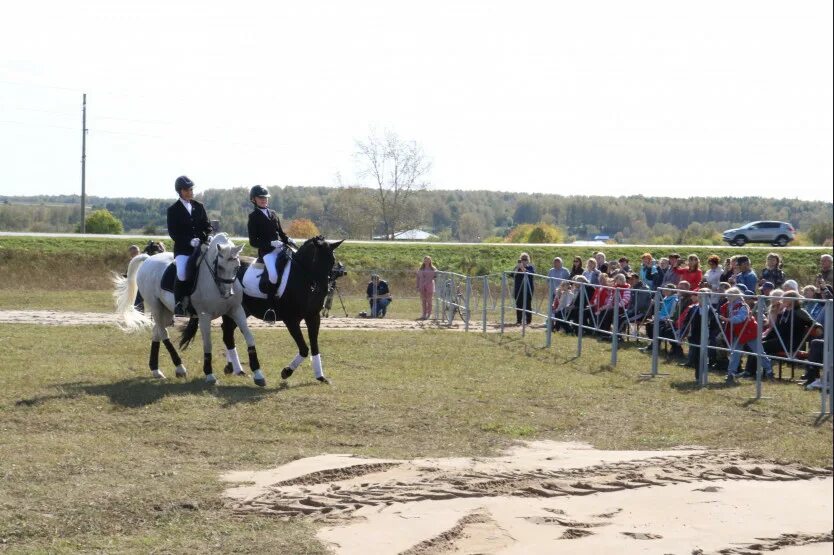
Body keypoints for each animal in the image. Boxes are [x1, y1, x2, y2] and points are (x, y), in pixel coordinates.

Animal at [112, 233, 264, 386]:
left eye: (237, 267)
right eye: (220, 267)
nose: (227, 294)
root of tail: (149, 259)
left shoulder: (236, 310)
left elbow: (249, 337)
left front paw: (258, 374)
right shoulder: (204, 315)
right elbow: (208, 344)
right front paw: (209, 374)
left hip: (166, 311)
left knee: (157, 331)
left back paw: (156, 370)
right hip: (155, 306)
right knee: (163, 333)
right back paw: (180, 368)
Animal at [206, 237, 342, 384]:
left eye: (332, 261)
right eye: (317, 259)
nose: (325, 290)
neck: (302, 277)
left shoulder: (313, 317)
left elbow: (315, 347)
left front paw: (320, 376)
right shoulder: (291, 321)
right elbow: (304, 349)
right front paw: (286, 372)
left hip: (241, 312)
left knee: (227, 331)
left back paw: (231, 367)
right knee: (227, 333)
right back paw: (237, 369)